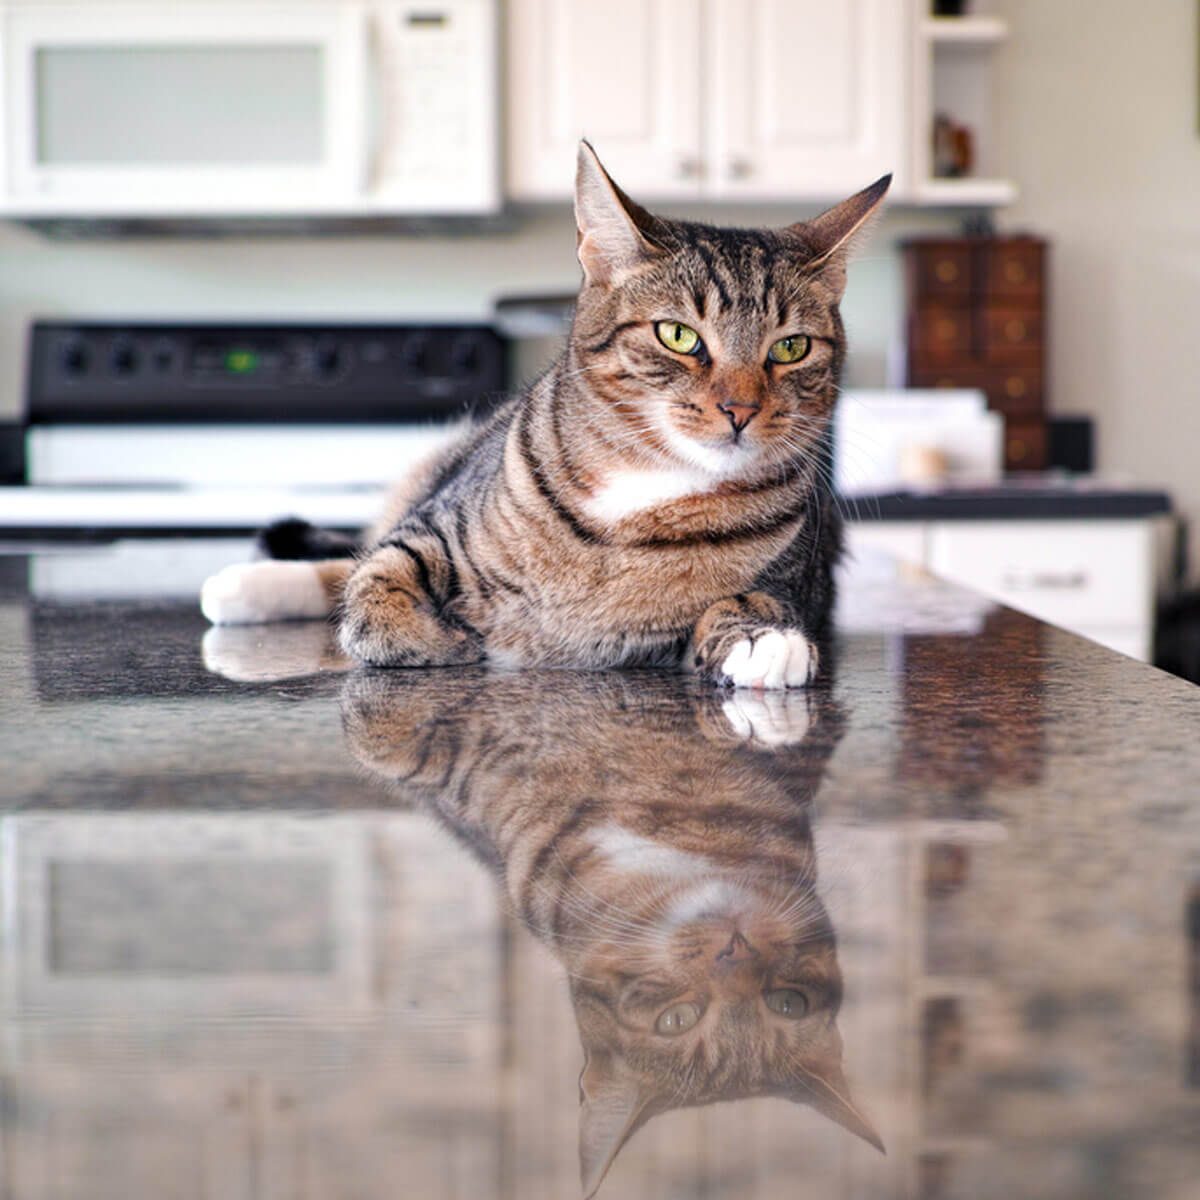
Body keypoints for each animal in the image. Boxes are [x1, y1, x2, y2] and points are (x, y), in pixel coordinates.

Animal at [201, 142, 888, 696]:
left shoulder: (798, 578)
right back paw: (241, 585)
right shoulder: (434, 525)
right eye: (678, 336)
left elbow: (753, 599)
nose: (741, 409)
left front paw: (763, 640)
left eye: (790, 348)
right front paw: (445, 638)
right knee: (353, 559)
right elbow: (379, 583)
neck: (645, 490)